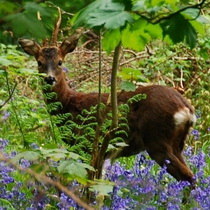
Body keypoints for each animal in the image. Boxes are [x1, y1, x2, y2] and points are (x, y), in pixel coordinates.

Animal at [17, 11, 195, 186]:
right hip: (177, 143)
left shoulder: (88, 145)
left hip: (157, 138)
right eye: (39, 62)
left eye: (60, 62)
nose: (49, 78)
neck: (69, 104)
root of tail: (186, 109)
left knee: (188, 176)